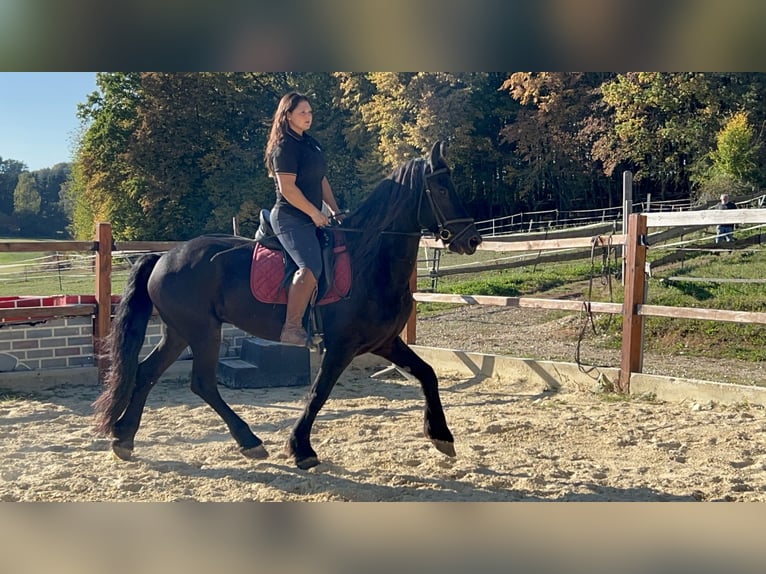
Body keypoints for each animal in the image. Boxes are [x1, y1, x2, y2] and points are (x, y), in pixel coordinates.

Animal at [93, 141, 482, 470]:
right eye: (442, 189)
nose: (473, 240)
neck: (368, 260)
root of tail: (163, 257)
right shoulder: (341, 347)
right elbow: (318, 393)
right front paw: (301, 448)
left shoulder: (385, 342)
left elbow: (427, 373)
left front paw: (442, 437)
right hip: (202, 332)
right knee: (202, 383)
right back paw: (249, 441)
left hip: (178, 332)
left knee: (147, 372)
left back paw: (124, 439)